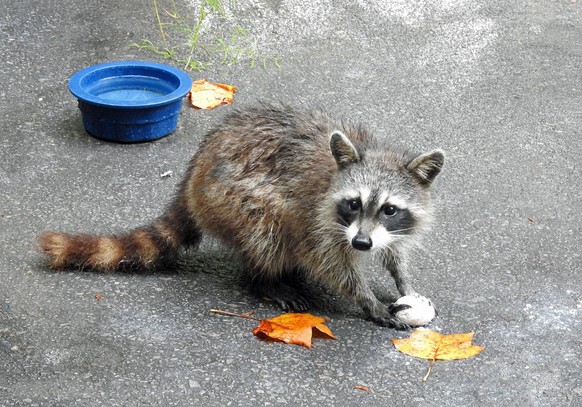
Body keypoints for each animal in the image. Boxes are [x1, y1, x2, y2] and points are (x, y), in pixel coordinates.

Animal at [38, 104, 444, 328]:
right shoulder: (316, 217)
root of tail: (193, 174)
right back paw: (264, 278)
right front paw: (366, 299)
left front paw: (403, 281)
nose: (361, 243)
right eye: (354, 204)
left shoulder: (387, 227)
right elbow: (329, 262)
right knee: (267, 227)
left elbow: (394, 251)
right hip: (228, 199)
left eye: (389, 209)